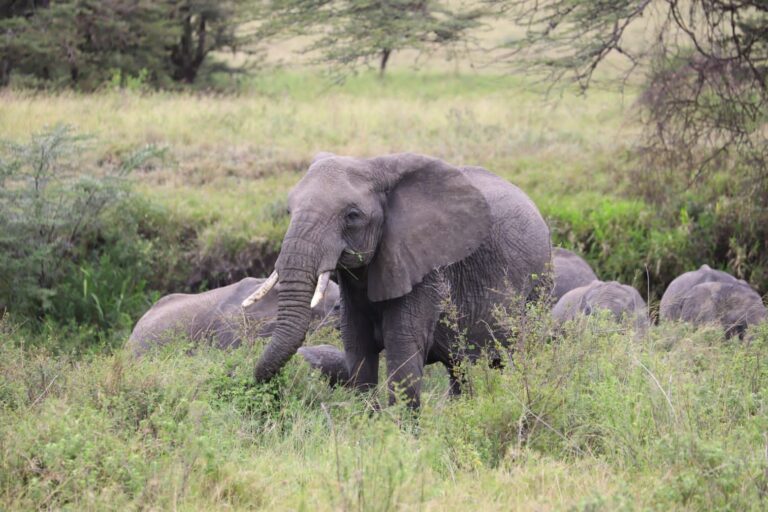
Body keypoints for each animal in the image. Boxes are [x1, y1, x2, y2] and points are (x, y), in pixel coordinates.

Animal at [243, 152, 552, 407]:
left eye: (352, 216)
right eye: (288, 212)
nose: (268, 389)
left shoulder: (425, 271)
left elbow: (402, 348)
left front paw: (401, 434)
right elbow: (357, 347)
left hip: (539, 285)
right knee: (460, 368)